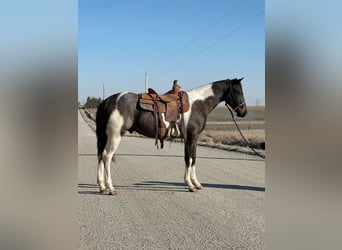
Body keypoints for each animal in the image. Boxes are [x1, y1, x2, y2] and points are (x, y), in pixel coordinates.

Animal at [95, 77, 247, 194]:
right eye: (238, 91)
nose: (244, 112)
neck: (198, 104)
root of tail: (107, 101)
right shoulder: (191, 137)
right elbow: (188, 160)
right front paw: (190, 185)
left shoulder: (193, 138)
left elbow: (193, 159)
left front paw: (196, 183)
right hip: (115, 136)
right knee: (107, 156)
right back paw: (111, 188)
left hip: (105, 136)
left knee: (101, 155)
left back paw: (102, 186)